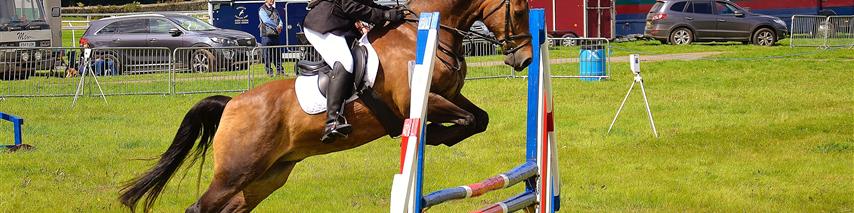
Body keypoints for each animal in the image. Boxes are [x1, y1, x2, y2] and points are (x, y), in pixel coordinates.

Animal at [120, 0, 536, 211]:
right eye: (517, 11)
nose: (525, 60)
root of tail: (231, 104)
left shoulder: (448, 96)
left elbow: (479, 118)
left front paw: (435, 137)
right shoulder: (421, 101)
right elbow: (465, 120)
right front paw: (432, 136)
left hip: (266, 176)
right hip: (236, 172)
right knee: (200, 208)